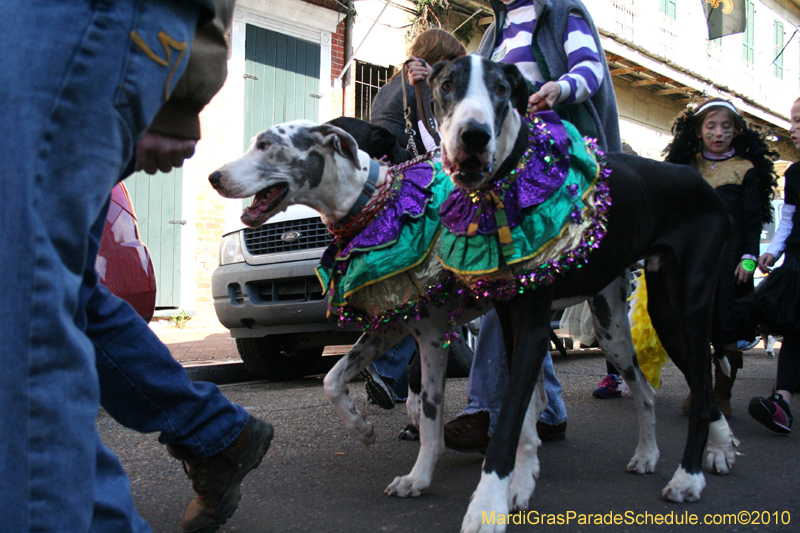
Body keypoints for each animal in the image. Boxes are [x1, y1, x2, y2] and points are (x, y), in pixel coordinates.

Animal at [211, 56, 736, 528]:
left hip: (673, 312)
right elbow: (333, 378)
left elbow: (428, 411)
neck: (377, 201)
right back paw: (651, 455)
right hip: (611, 328)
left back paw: (705, 461)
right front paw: (363, 428)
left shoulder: (432, 333)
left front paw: (423, 473)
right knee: (642, 388)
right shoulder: (394, 323)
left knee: (698, 382)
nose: (215, 176)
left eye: (265, 145)